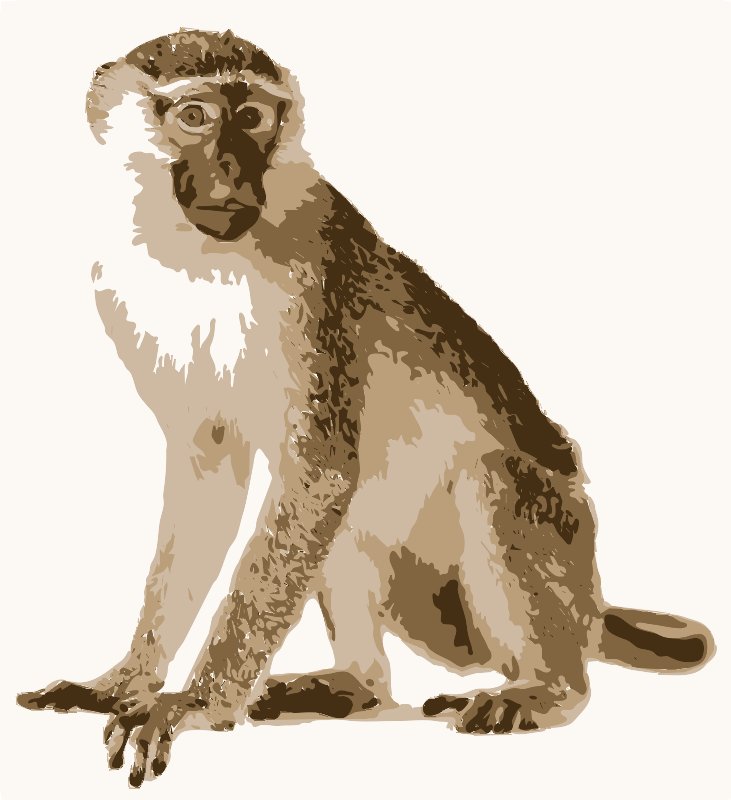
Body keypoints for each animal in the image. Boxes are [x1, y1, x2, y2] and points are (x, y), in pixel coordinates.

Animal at [17, 29, 715, 787]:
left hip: (547, 552)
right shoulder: (119, 289)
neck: (195, 255)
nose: (232, 174)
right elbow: (209, 475)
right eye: (196, 117)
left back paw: (546, 689)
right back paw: (354, 686)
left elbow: (319, 471)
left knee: (489, 475)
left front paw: (193, 704)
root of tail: (590, 603)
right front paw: (125, 682)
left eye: (253, 118)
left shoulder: (309, 286)